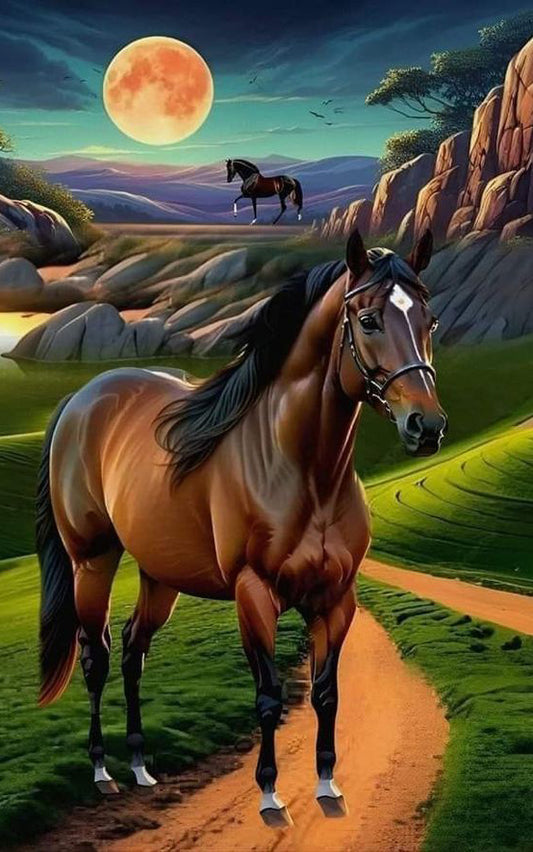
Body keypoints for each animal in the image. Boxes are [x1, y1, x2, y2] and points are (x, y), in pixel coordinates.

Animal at [37, 227, 446, 827]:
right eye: (369, 320)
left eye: (429, 321)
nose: (427, 425)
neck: (304, 472)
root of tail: (80, 401)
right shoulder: (253, 594)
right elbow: (270, 695)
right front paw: (271, 795)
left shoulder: (337, 599)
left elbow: (327, 693)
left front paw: (328, 786)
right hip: (92, 561)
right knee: (98, 657)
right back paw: (102, 772)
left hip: (160, 574)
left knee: (134, 652)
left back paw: (140, 766)